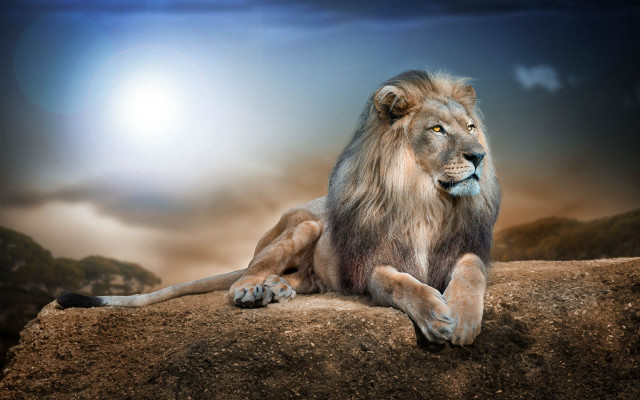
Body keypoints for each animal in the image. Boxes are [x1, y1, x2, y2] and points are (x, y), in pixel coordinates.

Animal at [58, 70, 501, 345]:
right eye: (437, 129)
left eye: (471, 127)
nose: (479, 156)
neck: (426, 201)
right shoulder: (372, 265)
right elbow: (400, 283)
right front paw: (436, 315)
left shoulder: (466, 249)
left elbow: (470, 270)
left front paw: (461, 317)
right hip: (304, 227)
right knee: (245, 274)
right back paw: (254, 291)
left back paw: (278, 289)